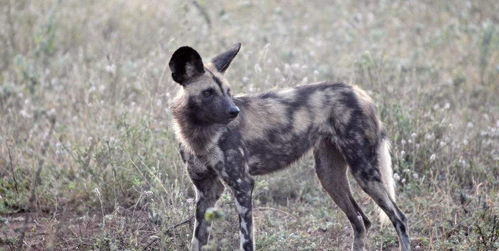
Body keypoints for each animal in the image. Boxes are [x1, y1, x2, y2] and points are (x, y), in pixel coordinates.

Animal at [170, 43, 412, 251]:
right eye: (208, 92)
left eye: (228, 91)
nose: (234, 112)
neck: (199, 135)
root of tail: (359, 91)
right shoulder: (207, 191)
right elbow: (196, 241)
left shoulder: (242, 185)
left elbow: (246, 241)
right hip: (329, 176)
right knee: (362, 221)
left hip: (364, 172)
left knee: (399, 218)